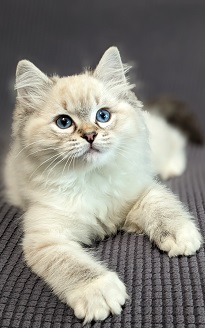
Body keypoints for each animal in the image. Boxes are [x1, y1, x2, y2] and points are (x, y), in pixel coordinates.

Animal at [4, 46, 203, 322]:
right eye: (64, 122)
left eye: (103, 115)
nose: (90, 135)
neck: (90, 176)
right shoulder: (47, 238)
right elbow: (74, 266)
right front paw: (98, 292)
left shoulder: (141, 190)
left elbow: (164, 208)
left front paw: (180, 235)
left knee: (176, 138)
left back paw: (173, 167)